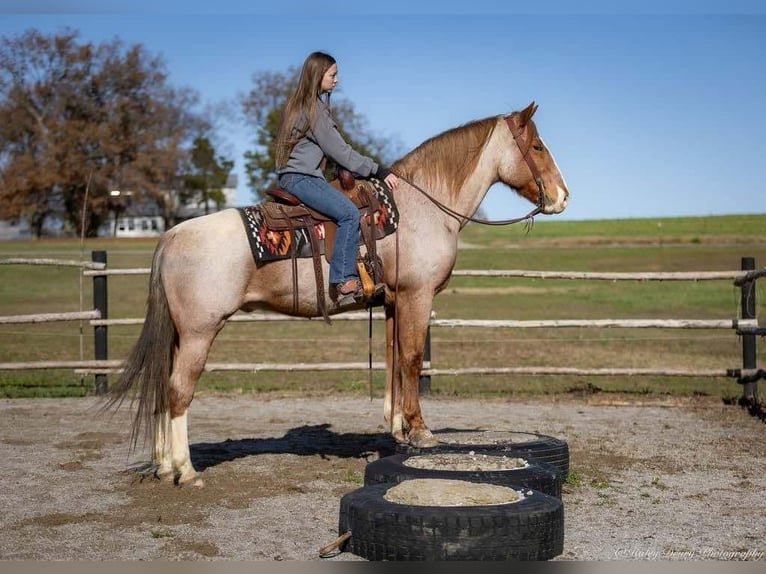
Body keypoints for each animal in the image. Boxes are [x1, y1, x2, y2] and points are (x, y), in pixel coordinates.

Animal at [103, 100, 568, 486]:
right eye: (538, 146)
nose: (562, 197)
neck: (422, 207)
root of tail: (171, 236)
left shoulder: (394, 301)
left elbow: (394, 361)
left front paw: (397, 429)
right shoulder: (417, 295)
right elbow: (412, 359)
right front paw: (421, 432)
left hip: (179, 334)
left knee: (163, 390)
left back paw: (165, 466)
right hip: (200, 332)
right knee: (179, 390)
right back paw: (185, 471)